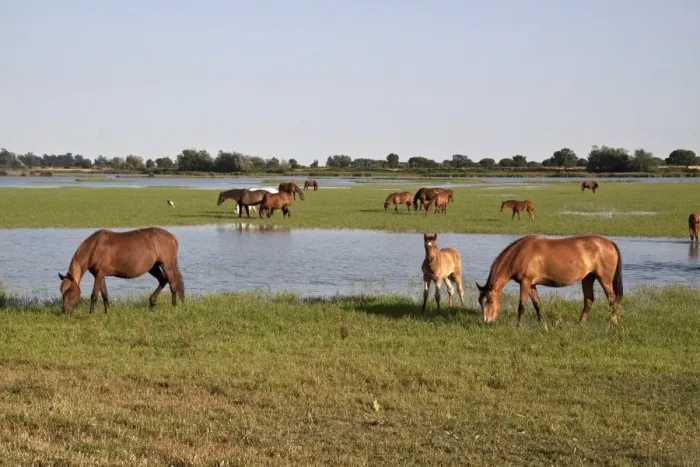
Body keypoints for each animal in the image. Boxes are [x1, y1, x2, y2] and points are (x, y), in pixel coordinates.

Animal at [476, 234, 623, 326]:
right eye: (480, 301)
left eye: (490, 301)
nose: (487, 322)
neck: (519, 253)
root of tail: (610, 243)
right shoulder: (531, 285)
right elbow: (537, 304)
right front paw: (542, 324)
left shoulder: (525, 283)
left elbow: (521, 306)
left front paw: (519, 326)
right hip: (588, 278)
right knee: (589, 300)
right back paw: (580, 323)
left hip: (605, 280)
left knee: (612, 300)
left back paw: (613, 324)